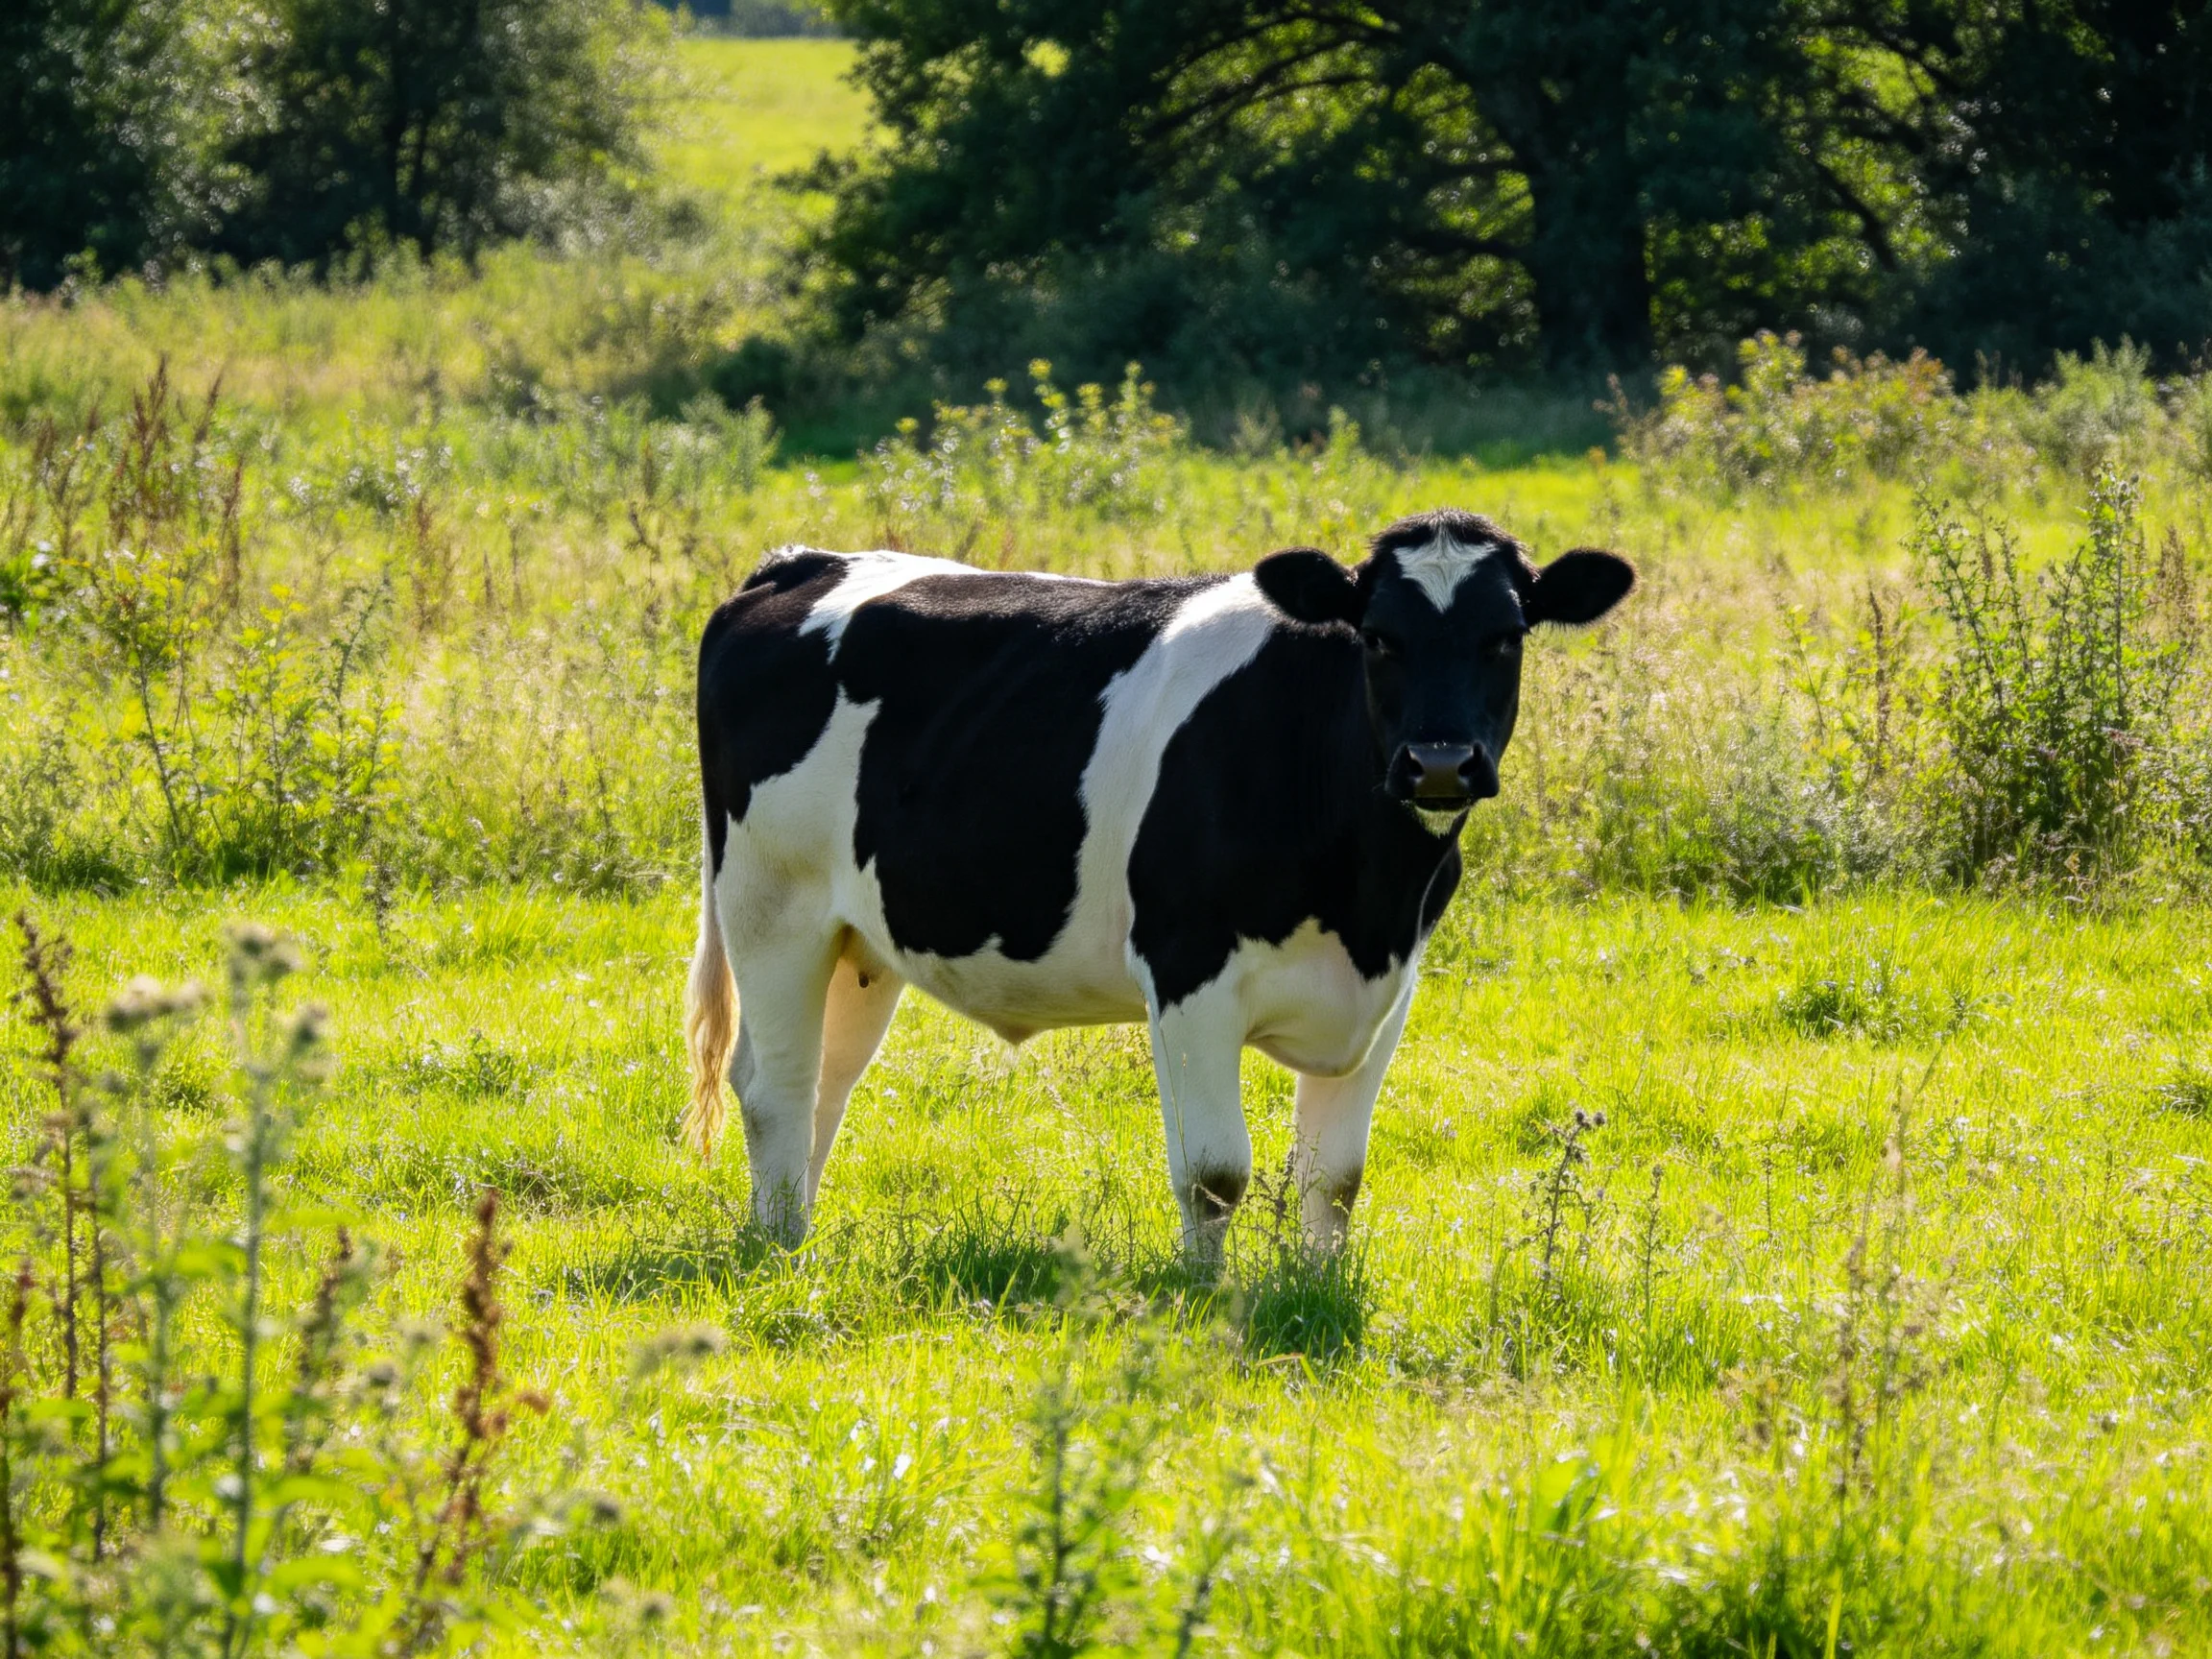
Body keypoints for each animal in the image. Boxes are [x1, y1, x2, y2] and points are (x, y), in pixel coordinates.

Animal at [683, 508, 1634, 1264]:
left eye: (1506, 636)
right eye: (1378, 636)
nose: (1438, 763)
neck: (1369, 893)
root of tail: (800, 563)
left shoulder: (1390, 987)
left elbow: (1335, 1177)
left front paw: (1316, 1286)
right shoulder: (1188, 967)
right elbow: (1216, 1172)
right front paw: (1203, 1293)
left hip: (862, 941)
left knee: (824, 1081)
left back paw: (791, 1230)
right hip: (773, 909)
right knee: (775, 1089)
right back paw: (782, 1251)